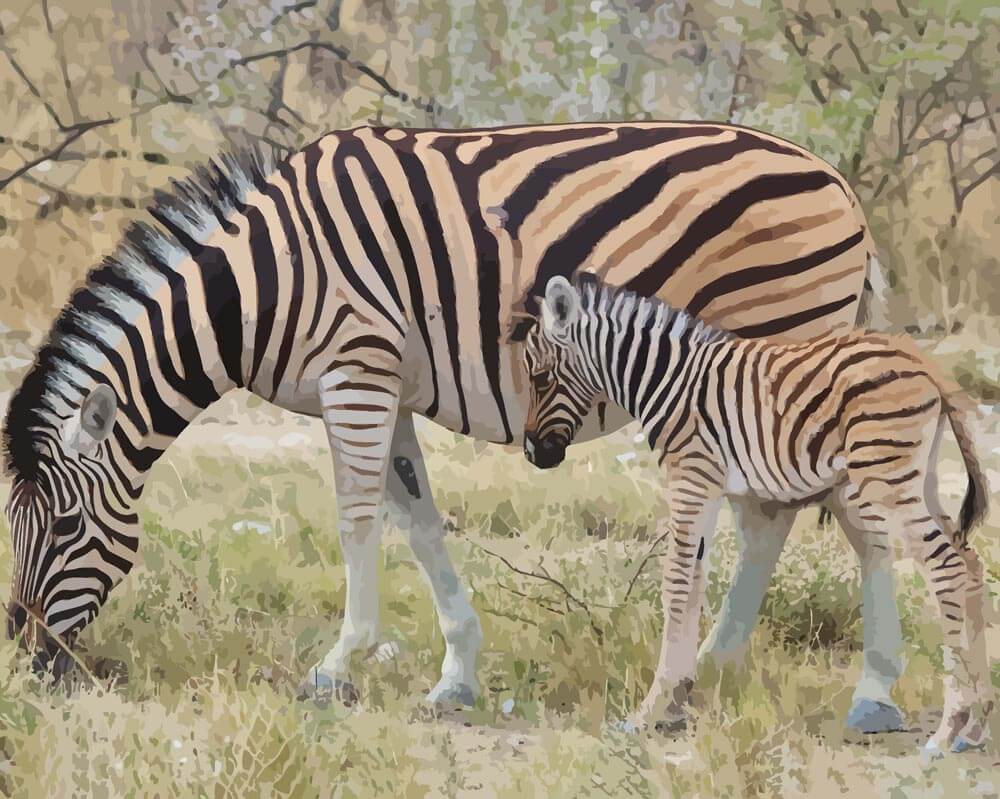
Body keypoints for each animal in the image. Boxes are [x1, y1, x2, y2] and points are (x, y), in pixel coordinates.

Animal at [1, 123, 900, 732]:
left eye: (69, 526)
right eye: (15, 528)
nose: (25, 660)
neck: (260, 287)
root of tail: (839, 180)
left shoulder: (356, 374)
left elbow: (358, 520)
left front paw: (336, 667)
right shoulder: (387, 390)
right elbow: (419, 521)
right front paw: (456, 674)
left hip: (779, 351)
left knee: (786, 519)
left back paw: (772, 676)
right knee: (785, 517)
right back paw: (724, 668)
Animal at [524, 276, 992, 756]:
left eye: (539, 377)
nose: (533, 453)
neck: (666, 379)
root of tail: (921, 360)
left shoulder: (691, 475)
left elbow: (676, 583)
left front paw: (649, 710)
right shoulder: (708, 485)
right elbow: (694, 581)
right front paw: (676, 698)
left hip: (887, 479)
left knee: (947, 568)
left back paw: (948, 729)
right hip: (921, 479)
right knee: (971, 565)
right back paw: (975, 724)